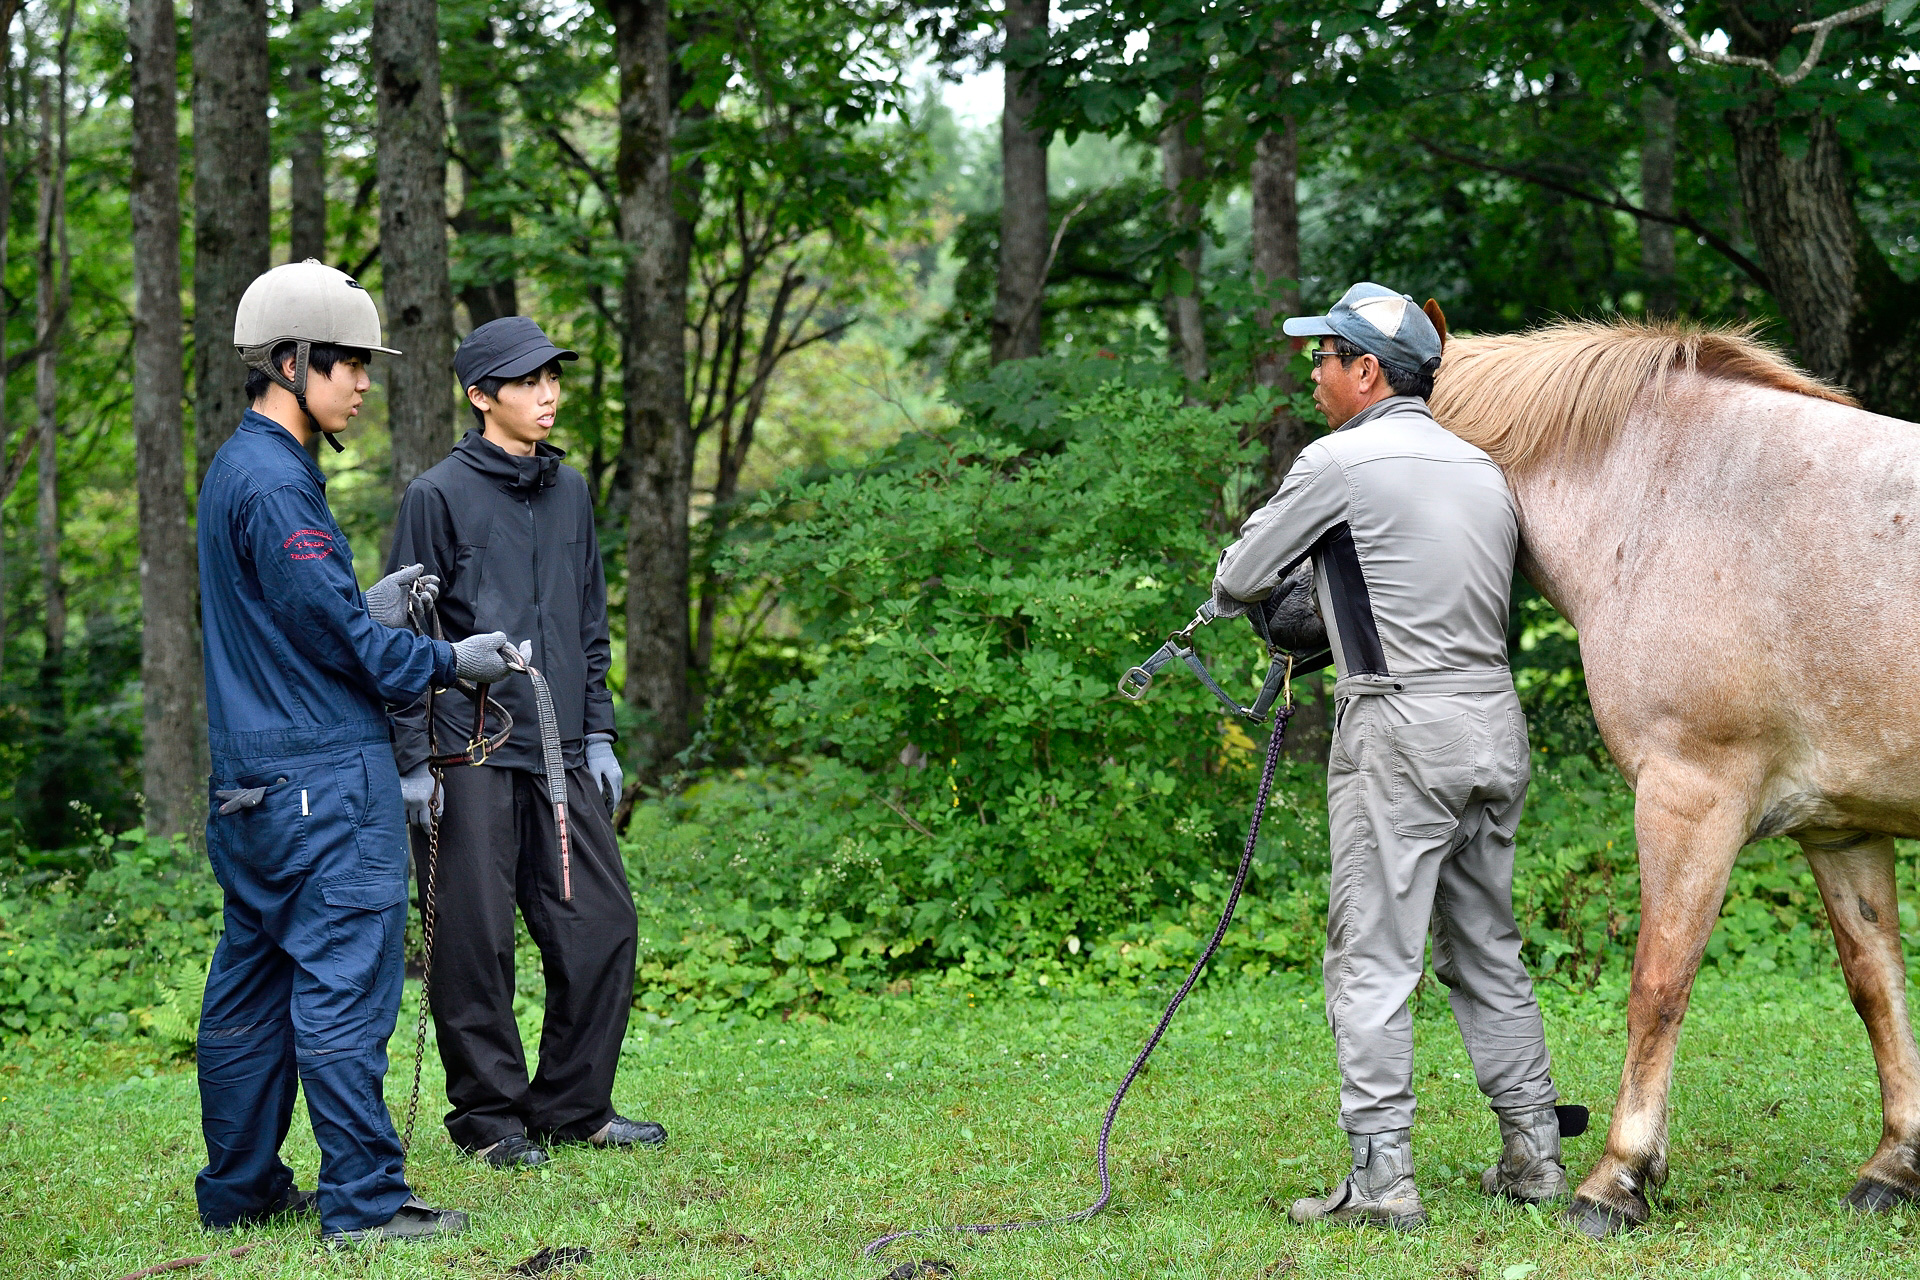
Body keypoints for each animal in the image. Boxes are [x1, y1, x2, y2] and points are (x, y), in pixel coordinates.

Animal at [1427, 319, 1920, 1236]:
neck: (1670, 498)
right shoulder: (1842, 828)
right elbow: (1877, 986)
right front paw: (1897, 1164)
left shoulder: (1689, 798)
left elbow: (1658, 984)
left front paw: (1618, 1177)